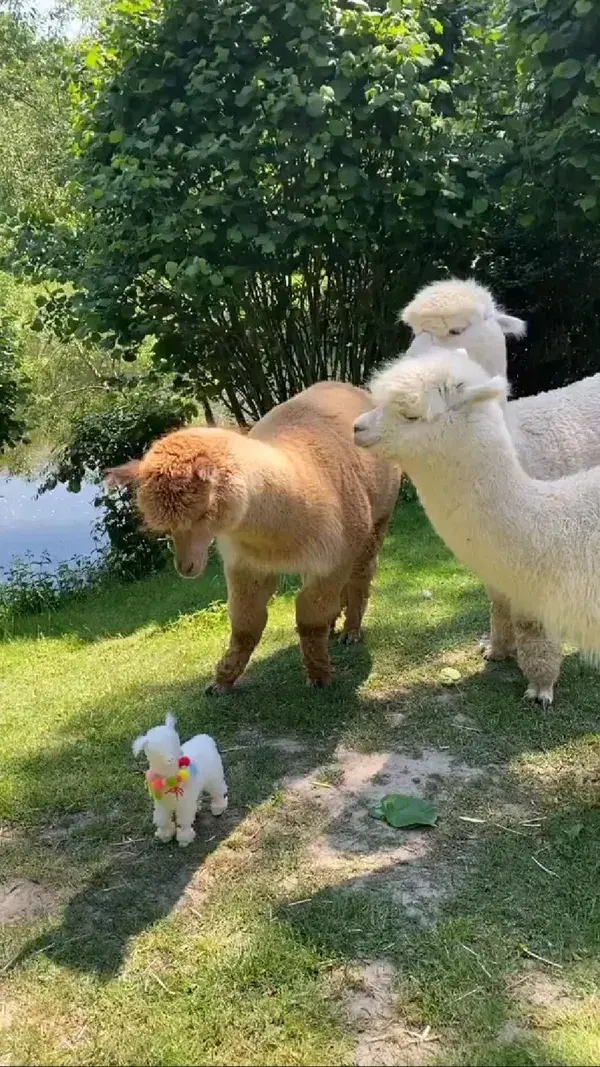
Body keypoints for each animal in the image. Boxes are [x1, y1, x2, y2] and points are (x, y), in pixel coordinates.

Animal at [131, 712, 227, 845]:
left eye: (175, 744)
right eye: (157, 753)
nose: (171, 759)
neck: (170, 780)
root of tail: (205, 738)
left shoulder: (183, 805)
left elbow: (184, 822)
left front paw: (184, 839)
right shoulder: (162, 805)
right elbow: (162, 820)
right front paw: (165, 835)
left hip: (214, 777)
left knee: (218, 791)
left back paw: (218, 808)